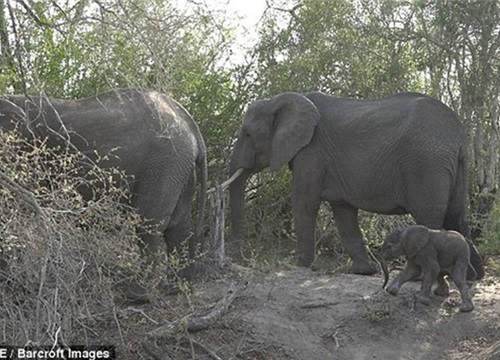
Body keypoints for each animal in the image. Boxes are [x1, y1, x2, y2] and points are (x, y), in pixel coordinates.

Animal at [0, 87, 207, 268]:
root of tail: (192, 127)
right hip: (181, 168)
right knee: (178, 229)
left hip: (164, 163)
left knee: (148, 226)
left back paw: (140, 288)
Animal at [228, 90, 484, 278]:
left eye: (248, 134)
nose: (241, 260)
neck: (280, 100)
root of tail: (459, 138)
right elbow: (343, 211)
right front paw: (363, 271)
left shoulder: (312, 153)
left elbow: (304, 203)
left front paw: (300, 265)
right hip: (452, 167)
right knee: (457, 217)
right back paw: (472, 277)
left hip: (426, 166)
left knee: (430, 218)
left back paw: (424, 276)